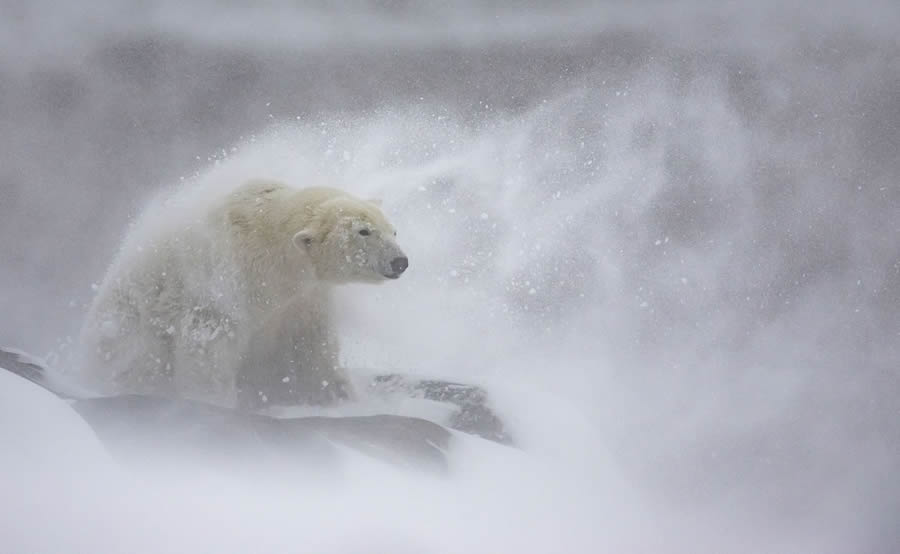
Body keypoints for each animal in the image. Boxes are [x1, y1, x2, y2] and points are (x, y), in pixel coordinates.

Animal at [77, 179, 408, 408]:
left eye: (392, 230)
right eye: (364, 231)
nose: (400, 261)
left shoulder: (305, 297)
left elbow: (314, 345)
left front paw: (338, 395)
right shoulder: (226, 281)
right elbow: (208, 343)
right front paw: (213, 402)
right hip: (128, 326)